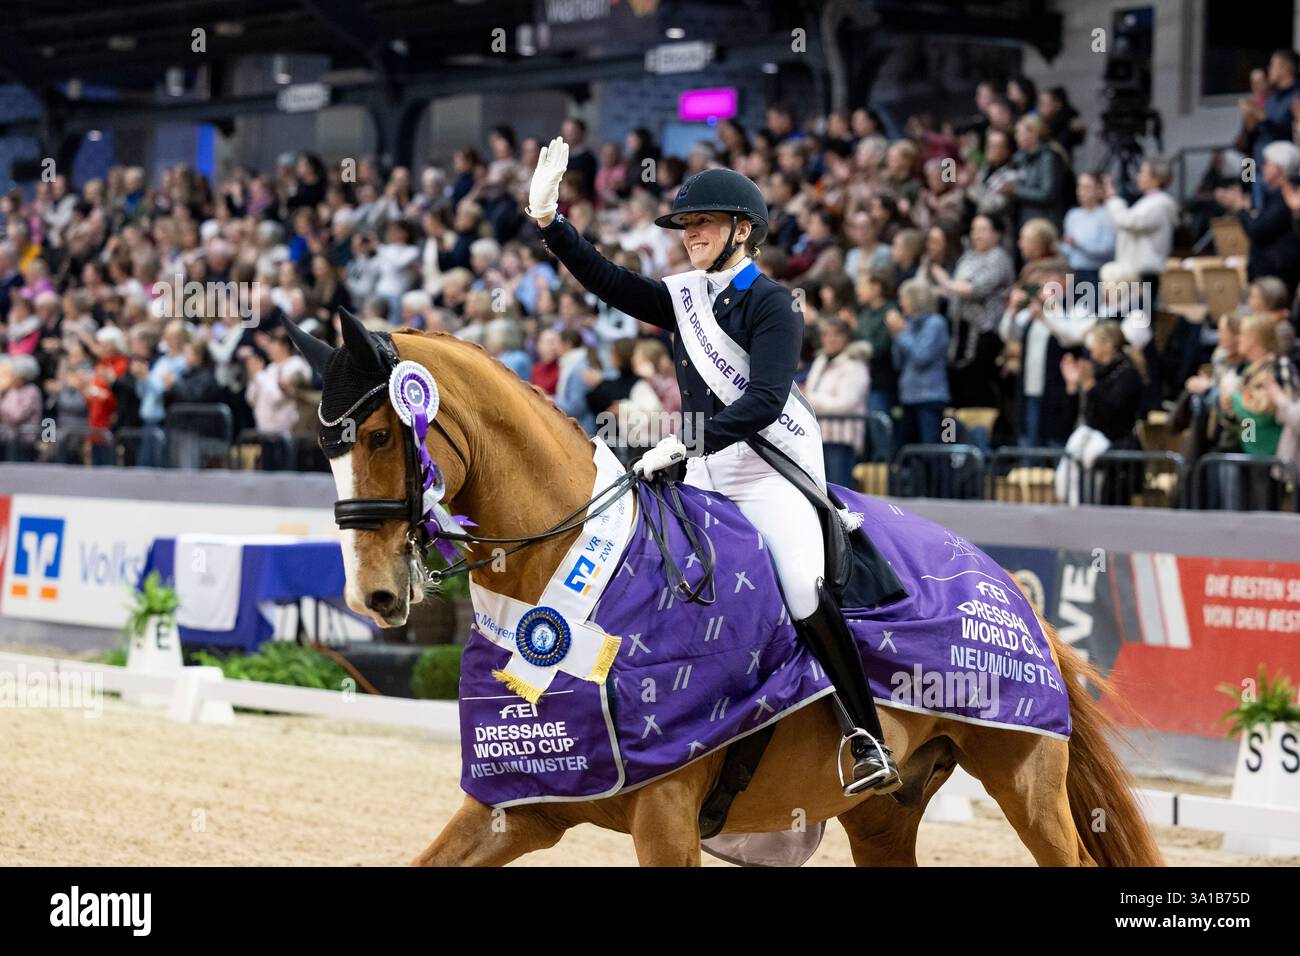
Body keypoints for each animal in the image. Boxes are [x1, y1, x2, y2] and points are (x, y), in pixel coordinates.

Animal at [327, 327, 1162, 867]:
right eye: (327, 444)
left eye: (380, 437)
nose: (374, 594)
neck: (575, 584)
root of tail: (1008, 589)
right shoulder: (520, 807)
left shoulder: (666, 820)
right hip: (884, 817)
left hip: (1025, 779)